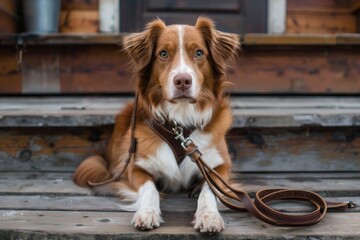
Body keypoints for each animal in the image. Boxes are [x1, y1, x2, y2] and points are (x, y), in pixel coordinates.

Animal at [73, 16, 239, 232]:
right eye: (163, 54)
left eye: (199, 53)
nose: (182, 81)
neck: (180, 122)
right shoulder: (135, 168)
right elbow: (150, 189)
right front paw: (147, 213)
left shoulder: (221, 167)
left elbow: (209, 190)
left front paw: (209, 215)